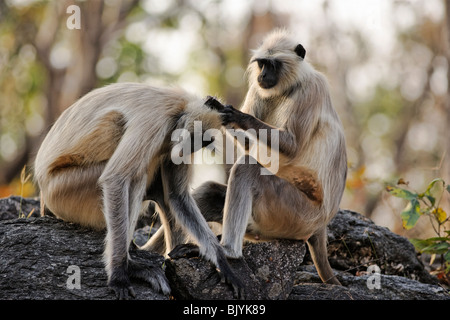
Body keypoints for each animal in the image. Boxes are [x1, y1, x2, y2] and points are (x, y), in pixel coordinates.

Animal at [35, 83, 244, 300]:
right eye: (193, 140)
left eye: (198, 145)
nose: (185, 151)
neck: (178, 109)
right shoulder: (156, 118)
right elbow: (116, 178)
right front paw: (118, 276)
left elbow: (177, 196)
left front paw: (221, 261)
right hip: (64, 189)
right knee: (134, 170)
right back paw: (130, 265)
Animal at [194, 30, 348, 284]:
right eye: (262, 64)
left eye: (273, 65)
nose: (263, 75)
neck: (289, 87)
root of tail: (321, 225)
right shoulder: (259, 90)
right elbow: (249, 145)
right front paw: (215, 108)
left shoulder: (312, 88)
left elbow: (292, 146)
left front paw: (238, 116)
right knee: (208, 192)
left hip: (293, 214)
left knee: (247, 168)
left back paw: (228, 252)